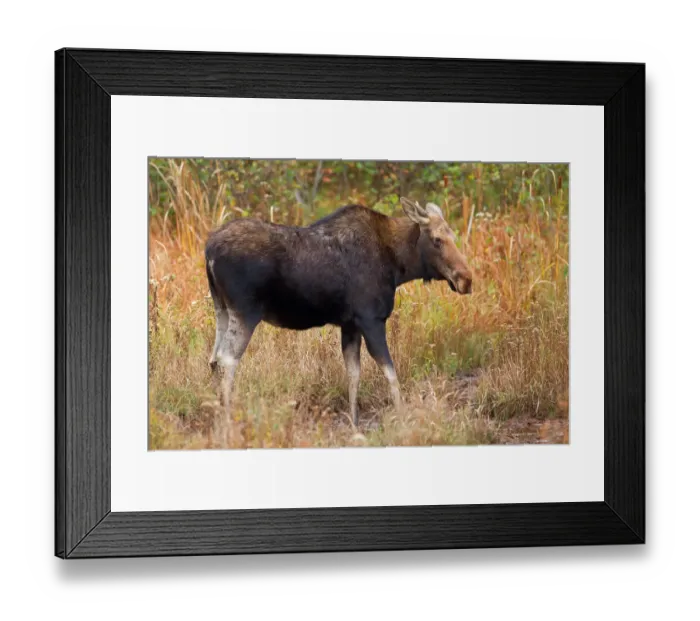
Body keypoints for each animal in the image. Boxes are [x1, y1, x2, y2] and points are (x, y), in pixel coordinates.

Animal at [205, 197, 473, 426]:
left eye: (452, 235)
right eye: (437, 239)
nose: (466, 279)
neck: (399, 265)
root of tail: (208, 251)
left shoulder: (350, 324)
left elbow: (353, 373)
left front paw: (354, 423)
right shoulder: (371, 319)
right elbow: (390, 372)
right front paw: (403, 418)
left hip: (222, 309)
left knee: (213, 358)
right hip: (246, 312)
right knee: (227, 359)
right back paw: (227, 421)